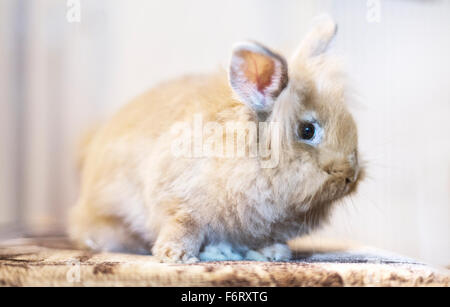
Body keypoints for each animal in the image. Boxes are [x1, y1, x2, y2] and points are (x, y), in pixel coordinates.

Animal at [68, 15, 364, 264]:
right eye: (307, 131)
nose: (350, 175)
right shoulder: (179, 202)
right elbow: (184, 226)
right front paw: (176, 256)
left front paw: (273, 253)